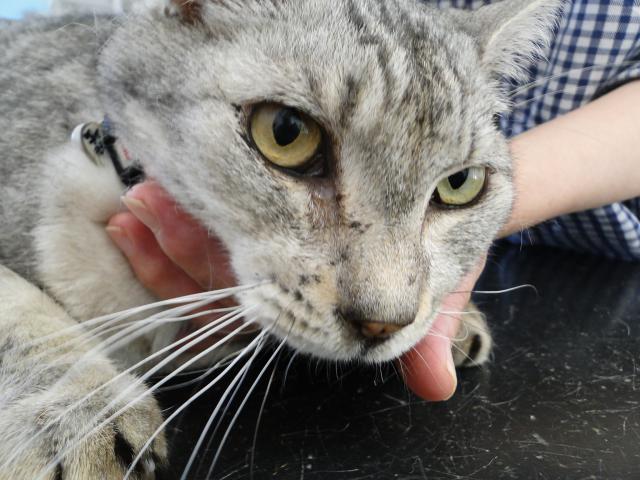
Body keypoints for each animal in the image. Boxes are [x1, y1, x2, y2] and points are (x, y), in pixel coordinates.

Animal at [0, 0, 560, 476]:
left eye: (460, 183)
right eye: (286, 132)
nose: (383, 323)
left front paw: (455, 320)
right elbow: (20, 314)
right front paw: (83, 413)